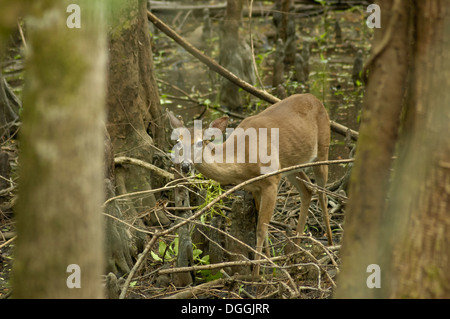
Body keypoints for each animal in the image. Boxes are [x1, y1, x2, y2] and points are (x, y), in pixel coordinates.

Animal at [167, 94, 332, 274]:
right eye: (178, 143)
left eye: (199, 142)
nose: (185, 166)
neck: (242, 160)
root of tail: (316, 99)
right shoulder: (255, 187)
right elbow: (262, 224)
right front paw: (268, 261)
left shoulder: (271, 181)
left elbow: (261, 229)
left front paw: (256, 273)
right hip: (292, 166)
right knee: (307, 190)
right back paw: (295, 250)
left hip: (323, 148)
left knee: (322, 193)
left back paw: (330, 245)